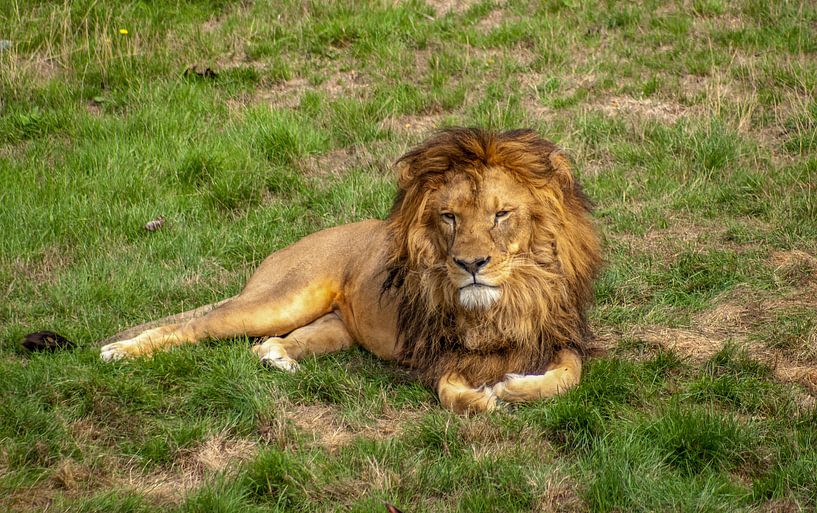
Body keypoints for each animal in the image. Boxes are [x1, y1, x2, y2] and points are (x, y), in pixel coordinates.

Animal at [96, 128, 602, 413]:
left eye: (500, 215)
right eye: (449, 217)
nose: (470, 264)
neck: (509, 296)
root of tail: (285, 249)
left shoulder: (557, 334)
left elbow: (571, 375)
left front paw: (517, 388)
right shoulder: (443, 353)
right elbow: (450, 392)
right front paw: (484, 398)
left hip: (335, 327)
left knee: (268, 343)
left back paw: (279, 359)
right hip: (281, 298)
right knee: (196, 326)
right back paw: (120, 351)